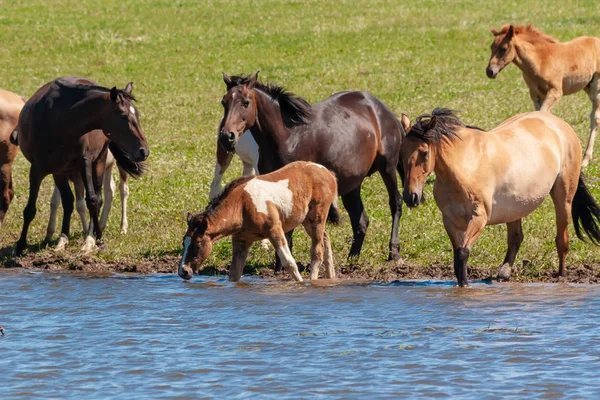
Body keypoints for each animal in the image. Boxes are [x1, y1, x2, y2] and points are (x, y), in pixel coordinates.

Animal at [15, 76, 149, 255]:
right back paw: (65, 238)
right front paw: (22, 244)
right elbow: (32, 208)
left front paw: (95, 240)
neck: (59, 119)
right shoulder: (41, 169)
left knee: (100, 197)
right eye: (122, 116)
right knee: (70, 200)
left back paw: (94, 237)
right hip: (64, 171)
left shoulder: (84, 162)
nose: (144, 150)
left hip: (98, 163)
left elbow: (92, 200)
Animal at [218, 72, 410, 266]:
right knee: (360, 219)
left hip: (388, 168)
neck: (287, 137)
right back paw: (352, 259)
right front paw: (280, 263)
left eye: (246, 102)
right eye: (224, 102)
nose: (227, 136)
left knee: (395, 203)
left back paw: (394, 252)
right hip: (352, 184)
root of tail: (384, 111)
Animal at [400, 108, 600, 286]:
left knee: (562, 238)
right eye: (402, 151)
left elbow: (463, 253)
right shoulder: (450, 220)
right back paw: (504, 273)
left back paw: (561, 274)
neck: (465, 164)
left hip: (563, 196)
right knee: (516, 238)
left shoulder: (479, 217)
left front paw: (465, 286)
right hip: (515, 206)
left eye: (424, 152)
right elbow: (457, 255)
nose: (411, 197)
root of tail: (560, 125)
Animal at [488, 22, 600, 166]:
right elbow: (538, 115)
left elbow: (543, 113)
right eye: (491, 47)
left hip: (596, 87)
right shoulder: (535, 94)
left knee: (595, 118)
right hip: (587, 86)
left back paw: (586, 159)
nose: (489, 71)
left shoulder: (555, 92)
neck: (541, 60)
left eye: (504, 48)